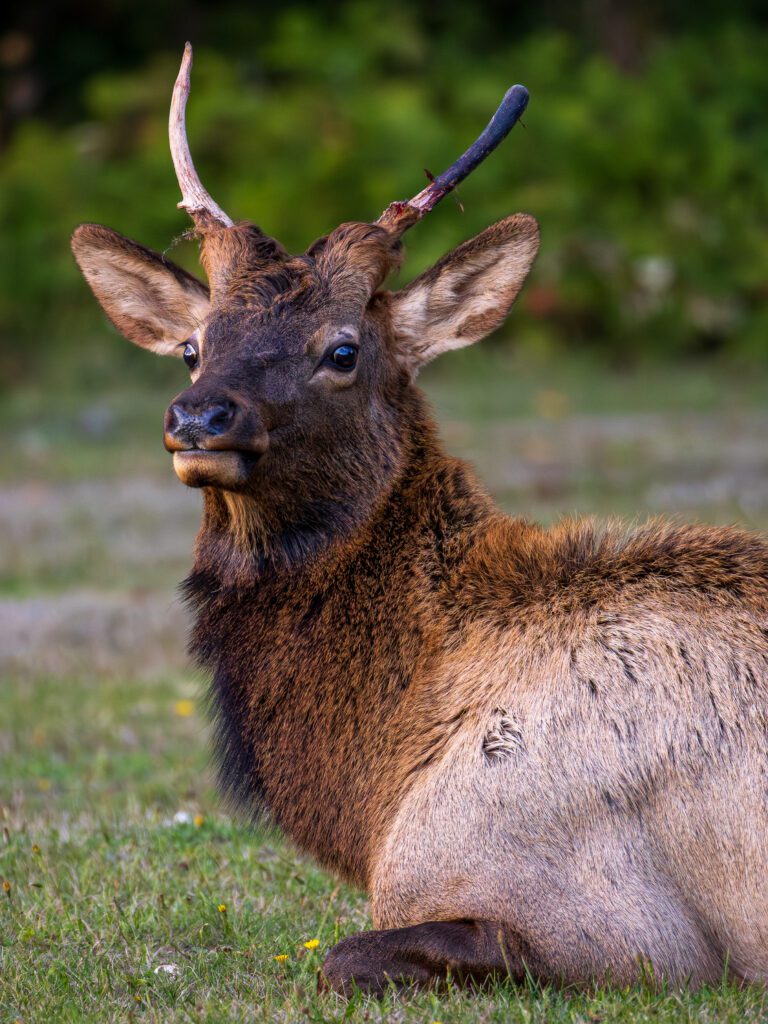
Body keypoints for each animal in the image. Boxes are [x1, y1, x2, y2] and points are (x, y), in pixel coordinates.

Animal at [71, 44, 768, 996]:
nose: (200, 417)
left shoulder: (628, 936)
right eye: (192, 345)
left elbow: (342, 957)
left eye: (342, 349)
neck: (376, 783)